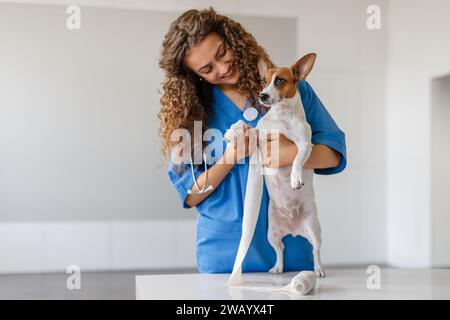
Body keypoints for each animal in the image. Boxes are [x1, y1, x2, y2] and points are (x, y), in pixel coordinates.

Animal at [224, 53, 324, 278]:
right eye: (263, 81)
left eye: (279, 80)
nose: (262, 96)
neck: (281, 116)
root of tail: (294, 229)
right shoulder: (260, 135)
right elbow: (246, 126)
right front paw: (232, 131)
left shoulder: (305, 145)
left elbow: (297, 159)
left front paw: (295, 178)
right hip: (272, 234)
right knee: (280, 249)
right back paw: (278, 267)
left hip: (314, 230)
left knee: (315, 250)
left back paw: (318, 269)